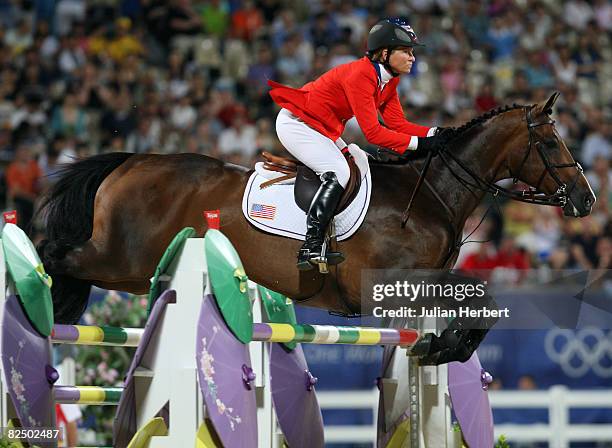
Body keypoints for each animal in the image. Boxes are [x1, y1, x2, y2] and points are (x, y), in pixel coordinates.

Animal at [37, 92, 592, 364]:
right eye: (550, 143)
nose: (586, 200)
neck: (430, 192)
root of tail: (131, 161)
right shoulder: (391, 283)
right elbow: (482, 293)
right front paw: (444, 347)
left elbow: (479, 301)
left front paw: (439, 348)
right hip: (118, 257)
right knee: (54, 253)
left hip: (133, 272)